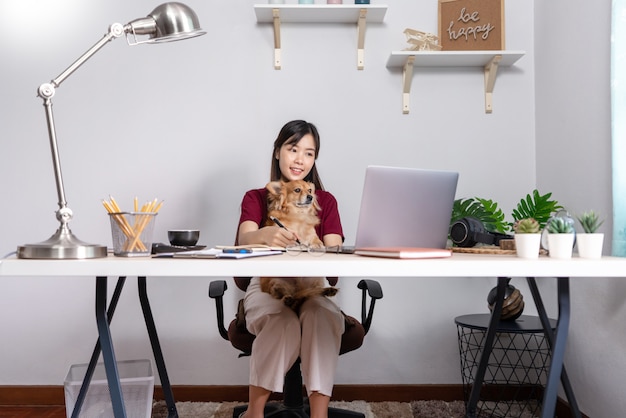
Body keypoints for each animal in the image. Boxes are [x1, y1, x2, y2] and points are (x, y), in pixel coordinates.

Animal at [258, 178, 336, 312]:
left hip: (316, 279)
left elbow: (315, 239)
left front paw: (318, 245)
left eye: (310, 190)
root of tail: (299, 290)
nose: (310, 197)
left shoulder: (312, 234)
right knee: (282, 293)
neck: (300, 216)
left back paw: (327, 291)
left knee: (314, 292)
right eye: (297, 190)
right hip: (277, 282)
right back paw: (288, 299)